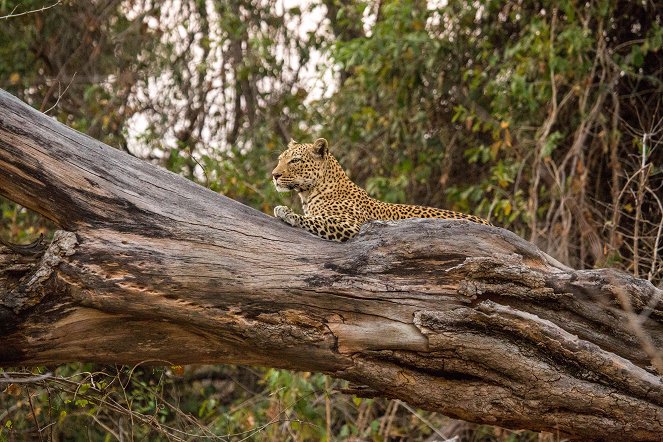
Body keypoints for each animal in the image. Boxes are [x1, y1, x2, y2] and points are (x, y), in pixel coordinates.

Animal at [272, 138, 492, 242]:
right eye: (280, 159)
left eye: (295, 161)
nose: (274, 175)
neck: (309, 194)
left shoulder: (351, 225)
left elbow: (314, 220)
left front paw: (286, 212)